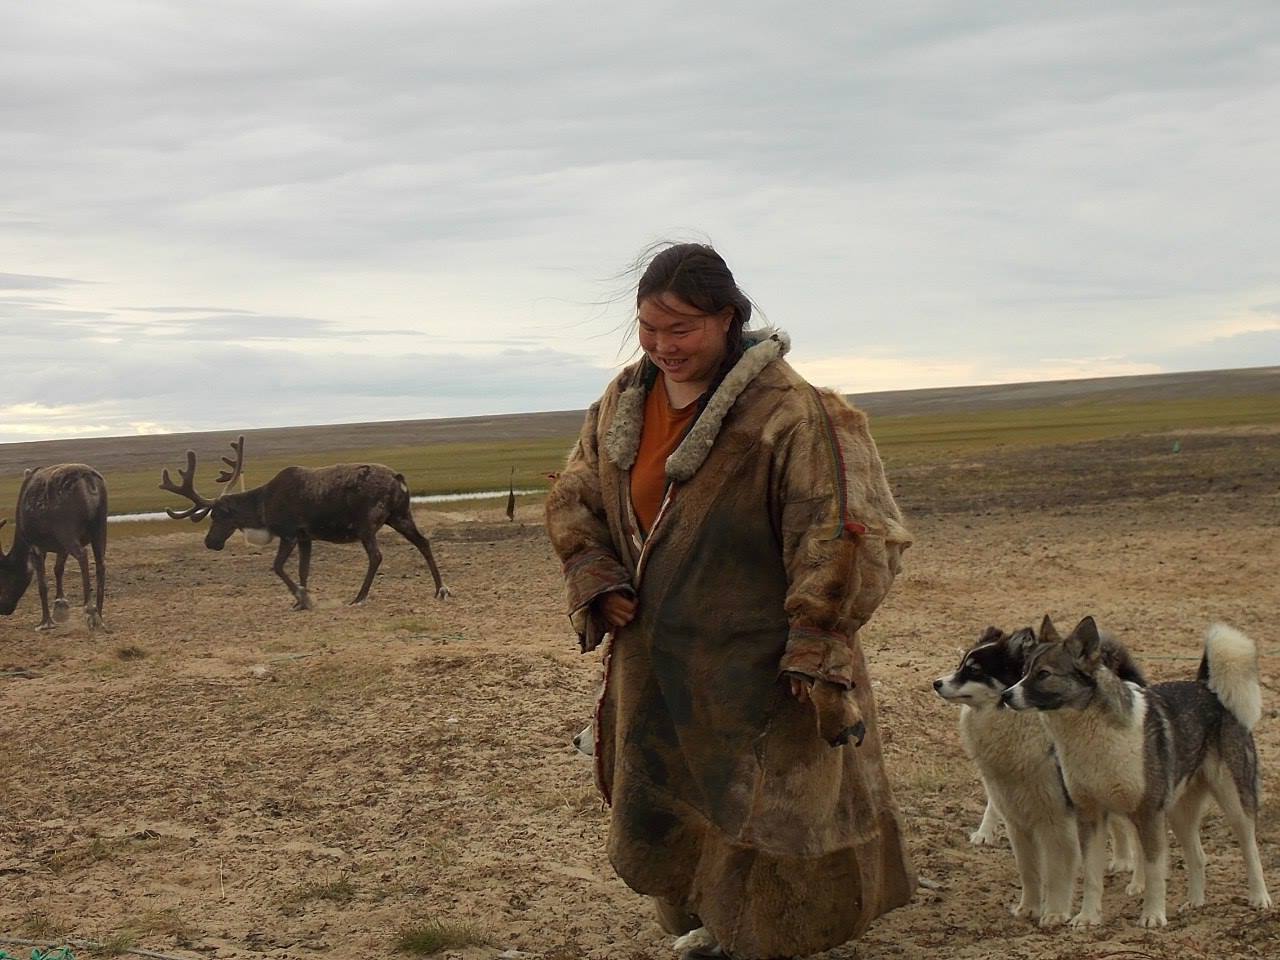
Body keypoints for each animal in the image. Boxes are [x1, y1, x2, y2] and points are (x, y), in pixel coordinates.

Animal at [931, 627, 1152, 926]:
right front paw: (1029, 908)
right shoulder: (1017, 820)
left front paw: (1055, 913)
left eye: (974, 670)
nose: (936, 683)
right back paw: (1121, 861)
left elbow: (1057, 870)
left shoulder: (1056, 819)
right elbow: (1029, 871)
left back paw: (1139, 882)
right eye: (960, 664)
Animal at [1008, 619, 1269, 926]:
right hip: (1179, 813)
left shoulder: (1148, 814)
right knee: (1197, 855)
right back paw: (1195, 902)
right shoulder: (1091, 817)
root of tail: (1208, 688)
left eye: (1044, 674)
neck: (1093, 734)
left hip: (1234, 800)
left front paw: (1153, 916)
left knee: (1250, 850)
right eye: (1024, 672)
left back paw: (1259, 898)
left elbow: (1154, 871)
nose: (1005, 695)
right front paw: (1087, 917)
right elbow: (1092, 876)